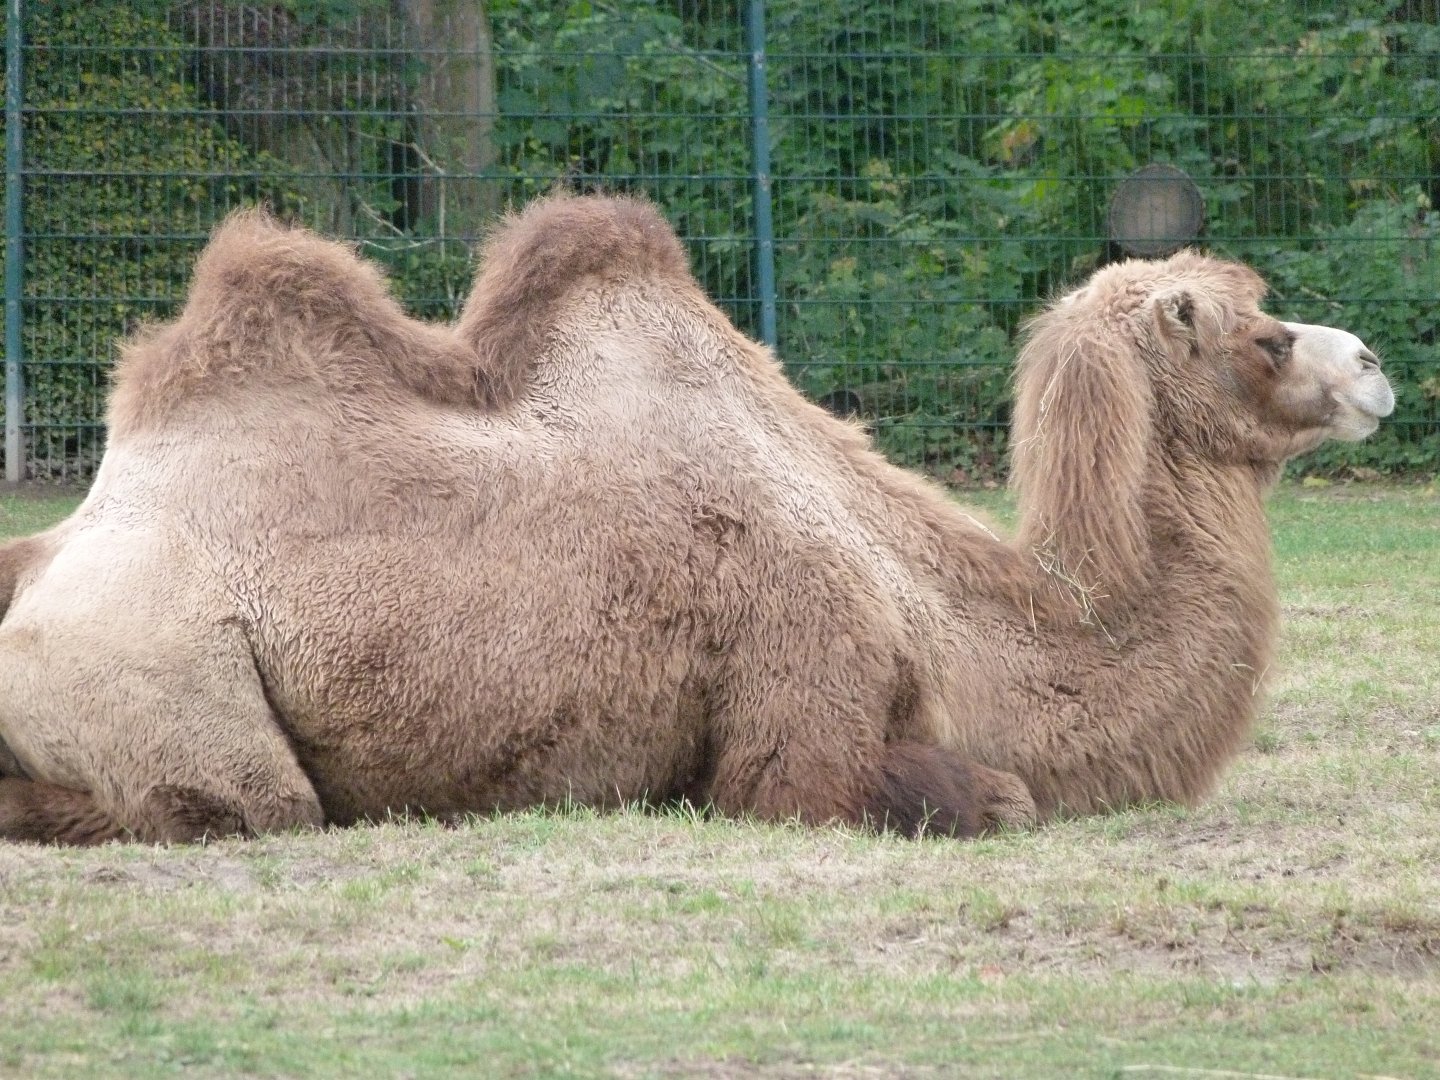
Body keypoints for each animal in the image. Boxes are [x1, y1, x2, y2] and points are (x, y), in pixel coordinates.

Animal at [0, 194, 1395, 845]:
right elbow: (985, 797)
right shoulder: (807, 679)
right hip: (163, 678)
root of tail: (41, 554)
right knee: (235, 804)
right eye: (1265, 337)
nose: (1377, 364)